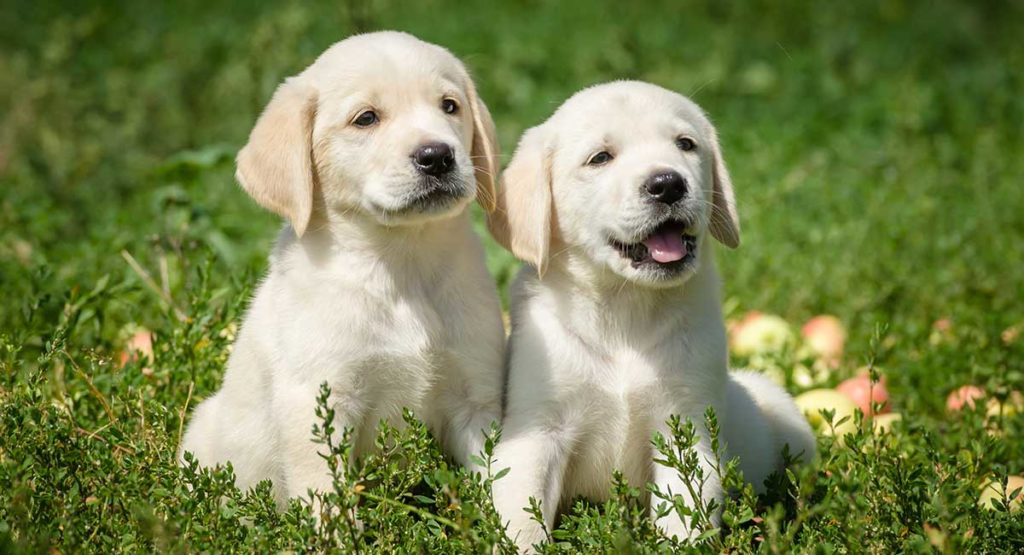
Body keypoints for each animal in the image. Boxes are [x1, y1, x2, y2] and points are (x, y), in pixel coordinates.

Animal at [183, 30, 507, 509]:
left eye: (450, 106)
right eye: (366, 118)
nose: (437, 155)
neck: (400, 264)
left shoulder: (475, 396)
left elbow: (499, 475)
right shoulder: (320, 405)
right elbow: (326, 497)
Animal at [487, 79, 815, 552]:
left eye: (686, 145)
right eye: (600, 158)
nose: (668, 183)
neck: (625, 309)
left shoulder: (687, 432)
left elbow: (686, 516)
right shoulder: (536, 430)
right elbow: (522, 519)